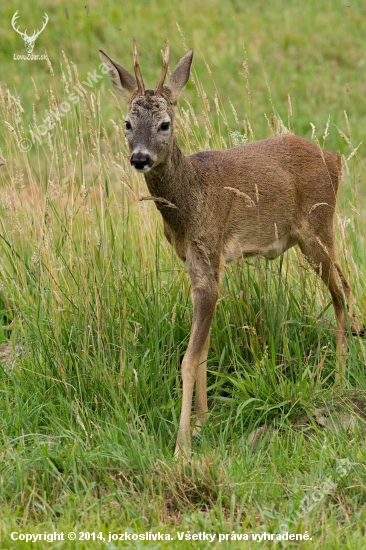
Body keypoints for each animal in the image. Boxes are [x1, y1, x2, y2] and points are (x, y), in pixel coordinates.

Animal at [98, 41, 364, 460]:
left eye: (165, 124)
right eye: (127, 123)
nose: (139, 158)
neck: (189, 201)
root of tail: (335, 160)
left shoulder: (210, 257)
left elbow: (189, 358)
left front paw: (182, 446)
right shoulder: (194, 263)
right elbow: (204, 350)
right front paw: (203, 423)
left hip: (318, 230)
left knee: (341, 297)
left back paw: (339, 385)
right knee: (346, 285)